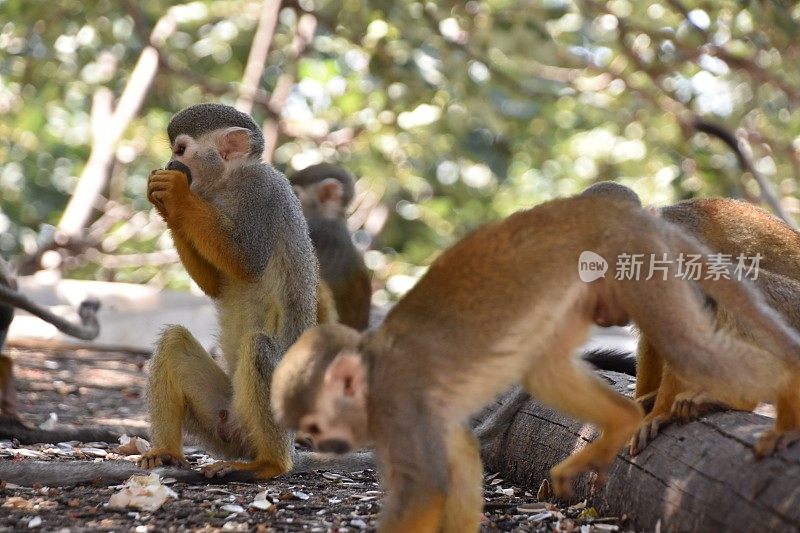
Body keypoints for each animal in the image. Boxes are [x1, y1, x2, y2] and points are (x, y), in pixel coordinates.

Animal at [139, 104, 326, 478]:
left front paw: (177, 195)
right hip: (219, 418)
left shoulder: (263, 193)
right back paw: (166, 452)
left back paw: (270, 464)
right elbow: (214, 284)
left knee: (258, 348)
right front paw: (166, 205)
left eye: (180, 150)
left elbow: (248, 260)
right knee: (174, 342)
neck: (230, 182)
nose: (169, 164)